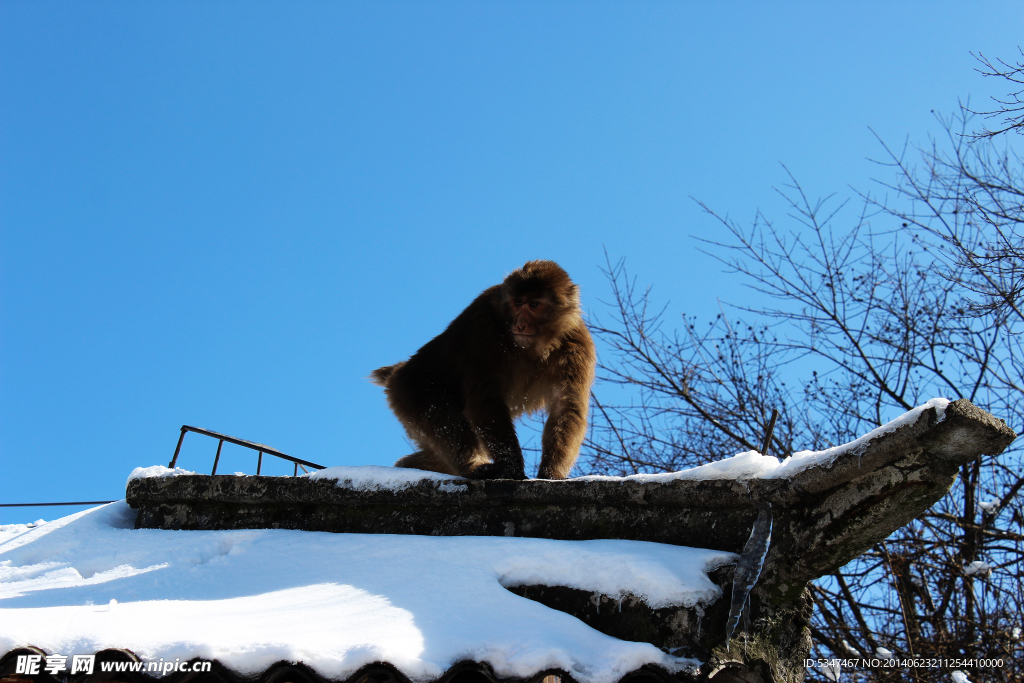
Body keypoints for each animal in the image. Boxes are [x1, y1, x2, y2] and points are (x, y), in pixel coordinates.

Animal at [370, 260, 598, 481]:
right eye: (517, 303)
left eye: (534, 305)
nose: (521, 324)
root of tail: (397, 374)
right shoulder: (483, 329)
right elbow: (485, 399)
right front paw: (512, 468)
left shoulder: (577, 344)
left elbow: (565, 405)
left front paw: (552, 472)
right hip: (412, 393)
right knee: (445, 418)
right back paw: (473, 467)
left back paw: (410, 464)